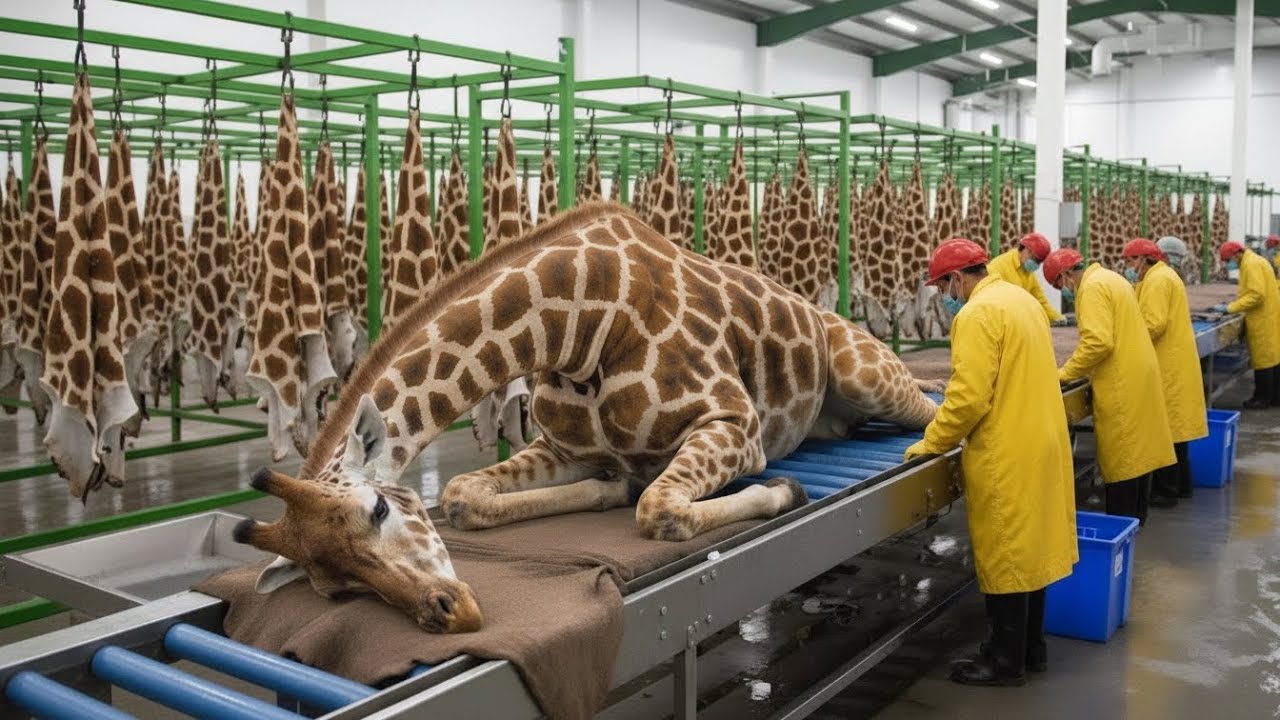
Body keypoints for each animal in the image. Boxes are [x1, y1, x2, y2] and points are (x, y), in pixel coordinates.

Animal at [233, 201, 942, 633]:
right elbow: (463, 496)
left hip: (866, 375)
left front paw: (783, 491)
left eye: (378, 509)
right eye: (335, 588)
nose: (451, 615)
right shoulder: (561, 447)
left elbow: (661, 509)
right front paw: (609, 485)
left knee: (925, 407)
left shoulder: (735, 426)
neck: (578, 323)